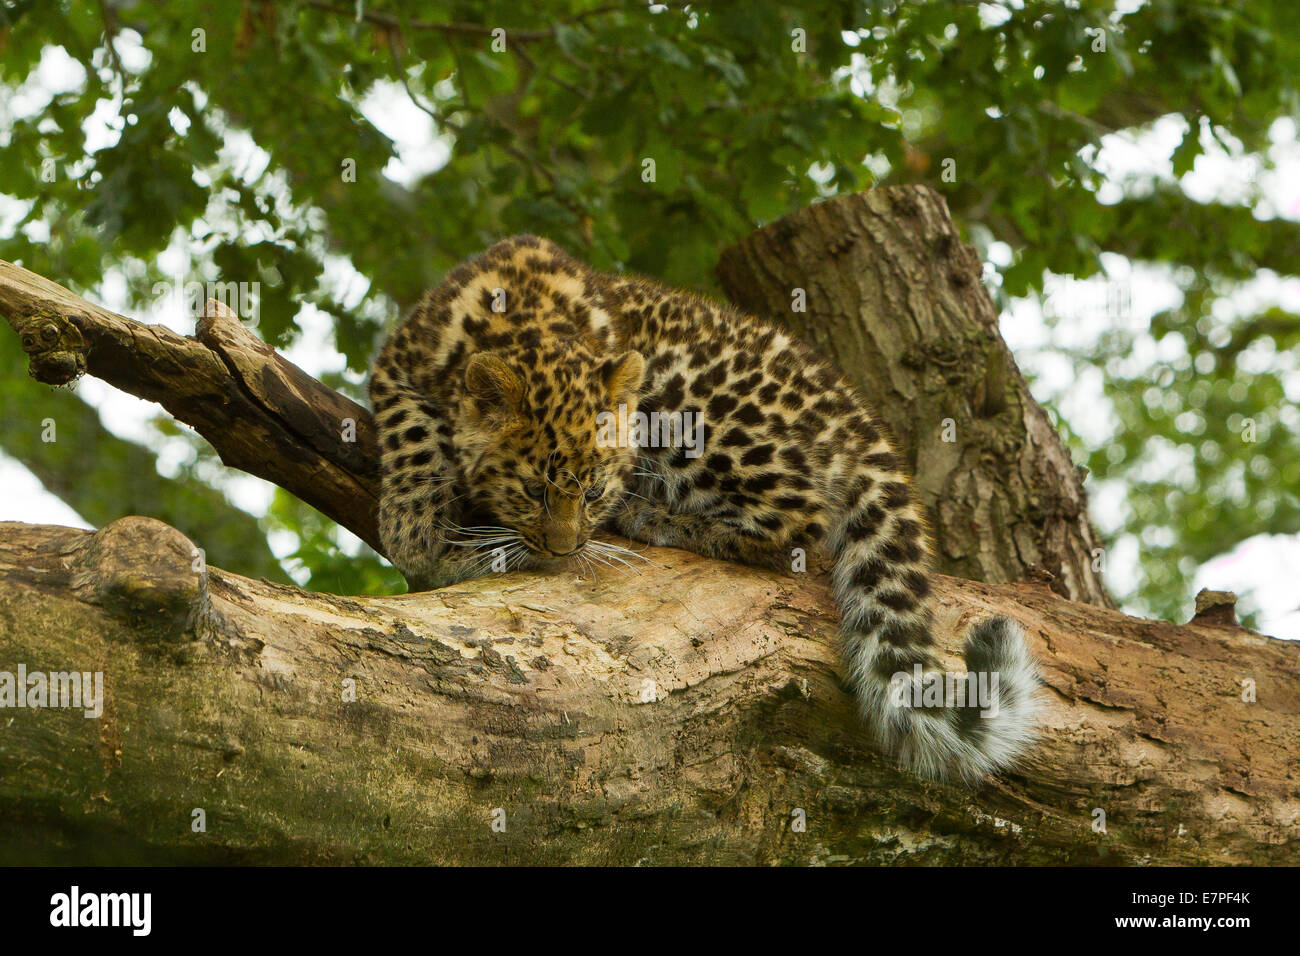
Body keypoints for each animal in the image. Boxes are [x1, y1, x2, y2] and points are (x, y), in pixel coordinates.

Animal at [368, 234, 1040, 783]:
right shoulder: (396, 362)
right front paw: (414, 520)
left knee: (798, 521)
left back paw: (654, 518)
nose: (565, 549)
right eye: (533, 492)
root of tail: (855, 418)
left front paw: (415, 534)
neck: (522, 320)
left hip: (688, 400)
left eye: (592, 492)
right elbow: (410, 429)